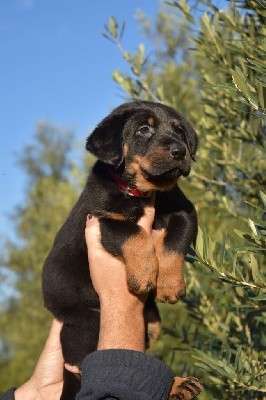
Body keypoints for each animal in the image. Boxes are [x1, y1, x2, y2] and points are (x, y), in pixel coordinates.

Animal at [42, 101, 200, 398]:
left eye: (180, 131)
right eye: (143, 129)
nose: (180, 151)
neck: (140, 192)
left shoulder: (185, 213)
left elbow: (174, 243)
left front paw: (169, 285)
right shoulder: (100, 219)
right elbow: (135, 235)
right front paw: (145, 275)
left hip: (151, 323)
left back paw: (179, 384)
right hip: (90, 322)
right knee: (84, 366)